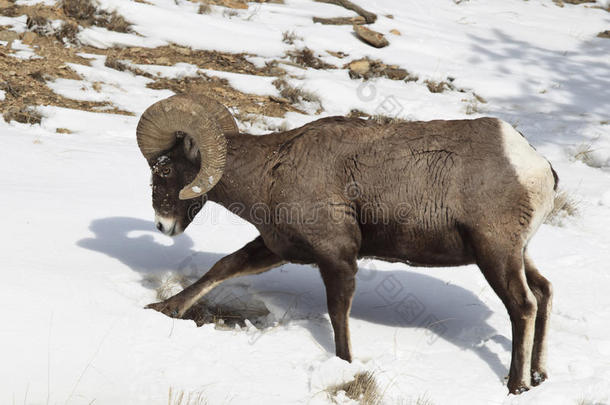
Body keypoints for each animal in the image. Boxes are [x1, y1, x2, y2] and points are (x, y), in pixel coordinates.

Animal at [138, 94, 556, 392]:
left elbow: (338, 315)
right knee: (544, 292)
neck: (271, 170)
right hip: (518, 254)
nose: (163, 225)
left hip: (495, 254)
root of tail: (537, 168)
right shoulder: (278, 248)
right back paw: (538, 374)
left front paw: (344, 365)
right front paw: (163, 308)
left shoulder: (336, 257)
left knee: (523, 306)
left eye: (164, 168)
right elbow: (222, 267)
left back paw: (516, 385)